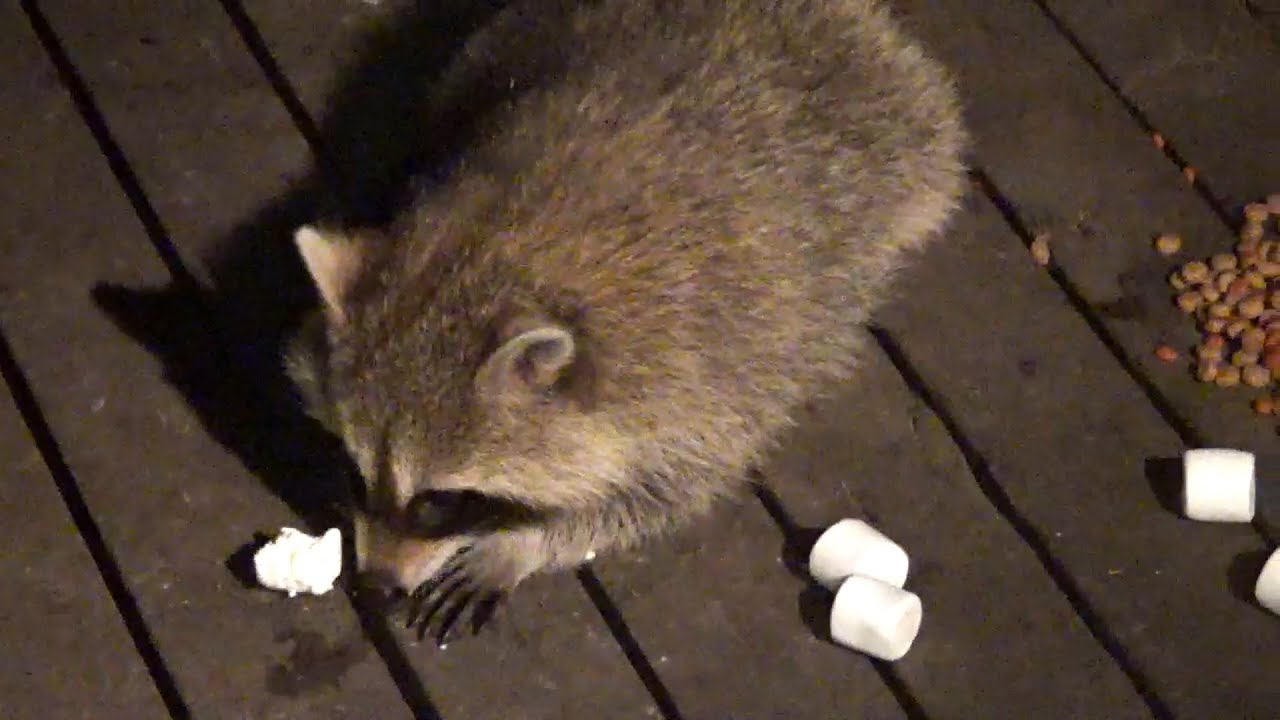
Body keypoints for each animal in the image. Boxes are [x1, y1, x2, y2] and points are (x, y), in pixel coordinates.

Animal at [284, 0, 968, 624]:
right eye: (354, 473)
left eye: (438, 503)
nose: (375, 585)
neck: (497, 252)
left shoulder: (708, 373)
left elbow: (666, 490)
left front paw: (520, 545)